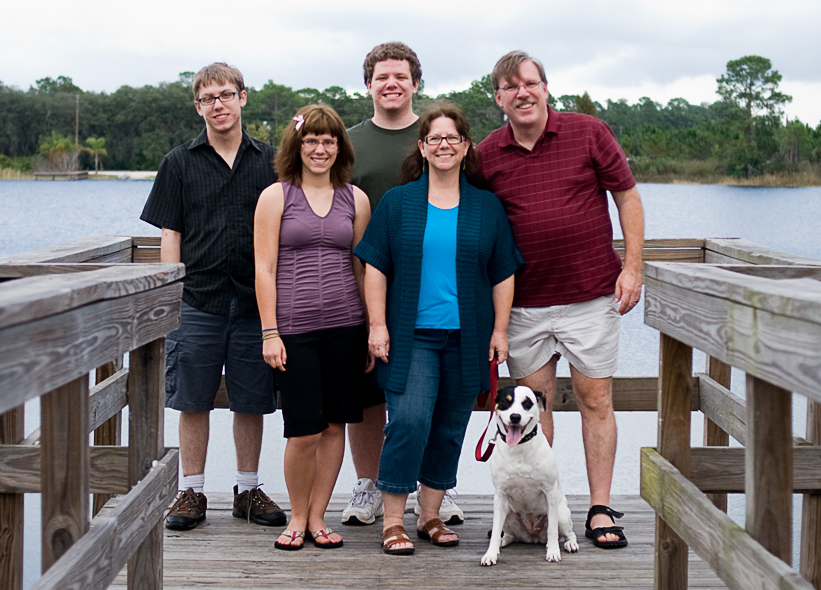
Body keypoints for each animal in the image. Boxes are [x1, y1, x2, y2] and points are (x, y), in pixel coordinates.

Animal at [480, 386, 576, 568]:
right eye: (506, 402)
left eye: (527, 403)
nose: (515, 417)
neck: (518, 448)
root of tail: (533, 536)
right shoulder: (501, 495)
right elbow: (495, 531)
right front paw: (490, 554)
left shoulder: (550, 492)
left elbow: (552, 530)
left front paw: (553, 552)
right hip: (507, 513)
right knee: (507, 533)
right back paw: (503, 542)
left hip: (562, 514)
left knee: (568, 532)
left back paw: (570, 544)